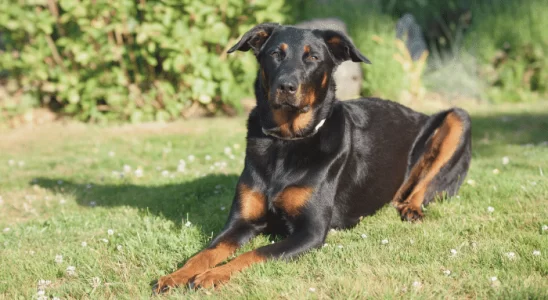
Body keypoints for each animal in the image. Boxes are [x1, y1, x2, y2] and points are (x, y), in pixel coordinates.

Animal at [154, 22, 470, 292]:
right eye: (275, 54)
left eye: (314, 57)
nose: (286, 86)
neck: (285, 142)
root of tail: (419, 113)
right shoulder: (240, 222)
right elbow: (207, 251)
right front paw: (176, 275)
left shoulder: (310, 232)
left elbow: (255, 253)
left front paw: (213, 276)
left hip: (458, 118)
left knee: (422, 186)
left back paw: (411, 207)